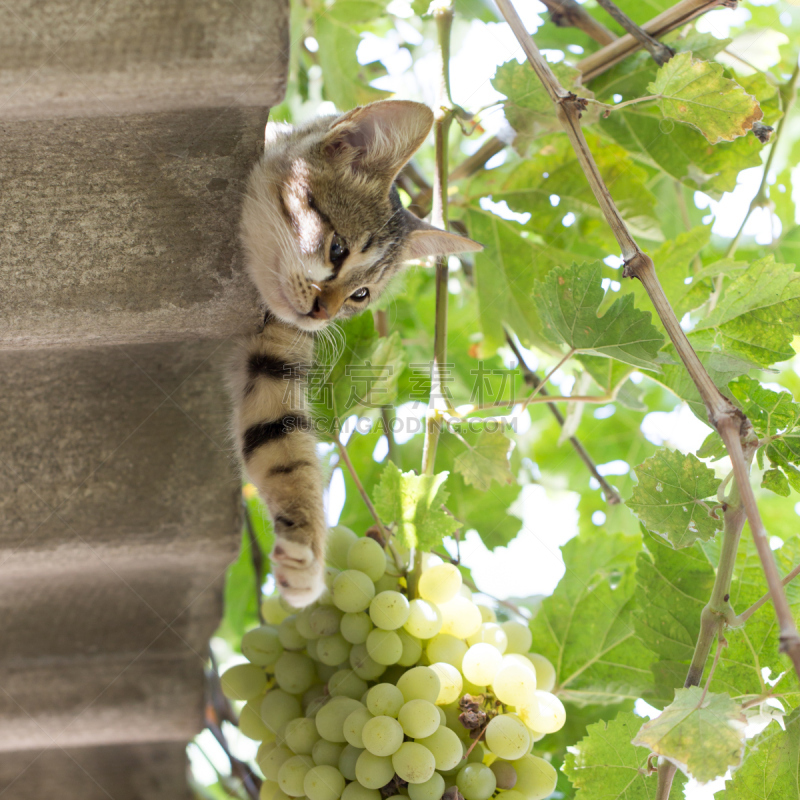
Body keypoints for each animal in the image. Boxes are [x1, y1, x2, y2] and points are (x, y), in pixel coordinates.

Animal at [230, 100, 482, 608]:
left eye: (361, 296)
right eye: (338, 248)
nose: (322, 313)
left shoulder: (274, 362)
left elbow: (283, 448)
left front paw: (305, 552)